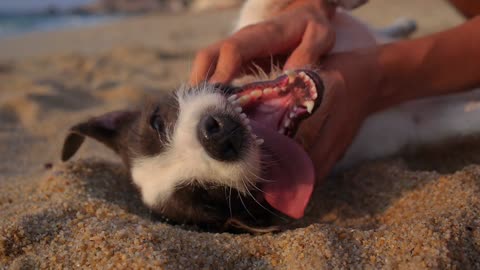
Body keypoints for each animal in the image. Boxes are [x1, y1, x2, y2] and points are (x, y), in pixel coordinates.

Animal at [60, 0, 480, 232]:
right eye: (206, 196)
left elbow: (270, 9)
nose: (216, 137)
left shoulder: (261, 25)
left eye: (157, 122)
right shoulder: (418, 125)